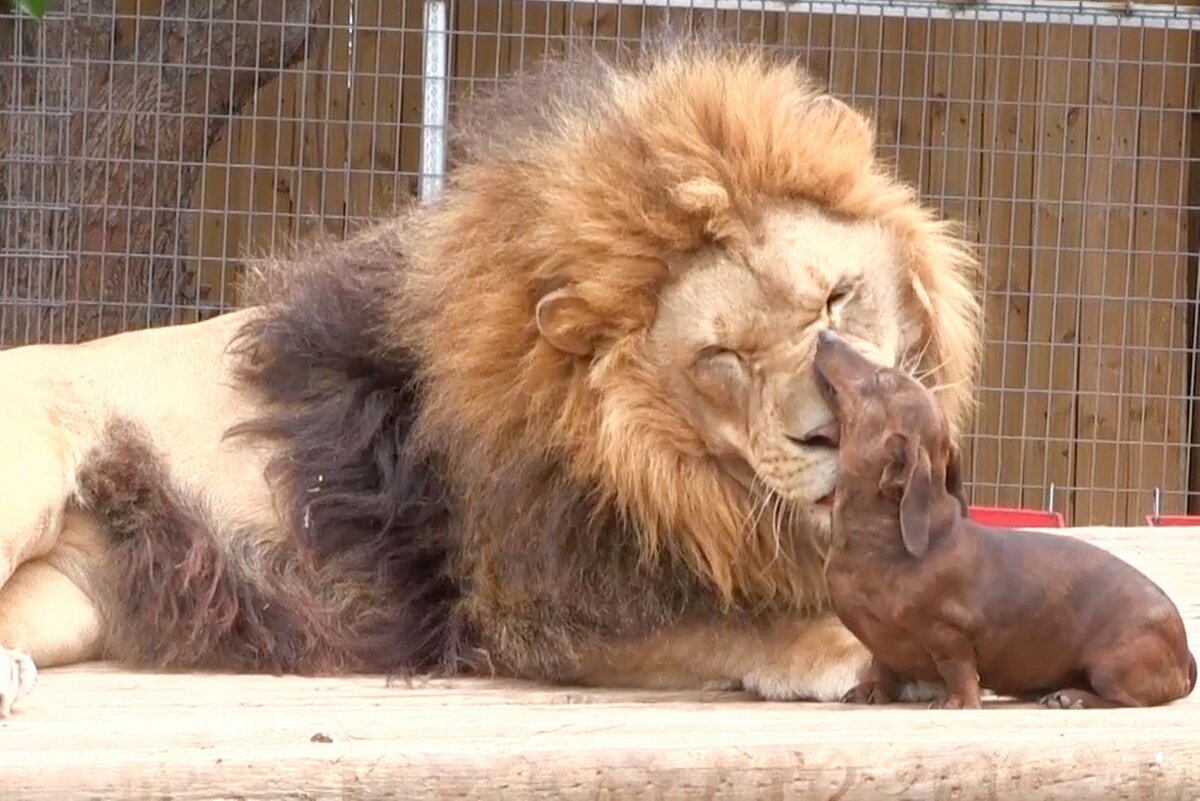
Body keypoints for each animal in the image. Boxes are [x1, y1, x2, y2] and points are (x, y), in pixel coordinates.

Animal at [0, 32, 979, 719]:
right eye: (722, 359)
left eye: (837, 298)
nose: (834, 431)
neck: (677, 474)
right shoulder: (525, 605)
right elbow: (730, 624)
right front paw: (849, 647)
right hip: (31, 475)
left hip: (67, 602)